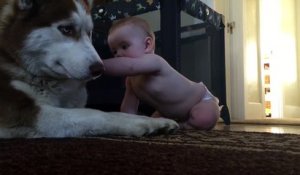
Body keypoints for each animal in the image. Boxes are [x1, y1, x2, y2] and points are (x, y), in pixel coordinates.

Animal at [0, 0, 178, 137]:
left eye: (90, 32)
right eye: (66, 29)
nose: (99, 69)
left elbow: (112, 112)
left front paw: (155, 121)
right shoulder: (22, 112)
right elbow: (94, 113)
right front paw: (141, 123)